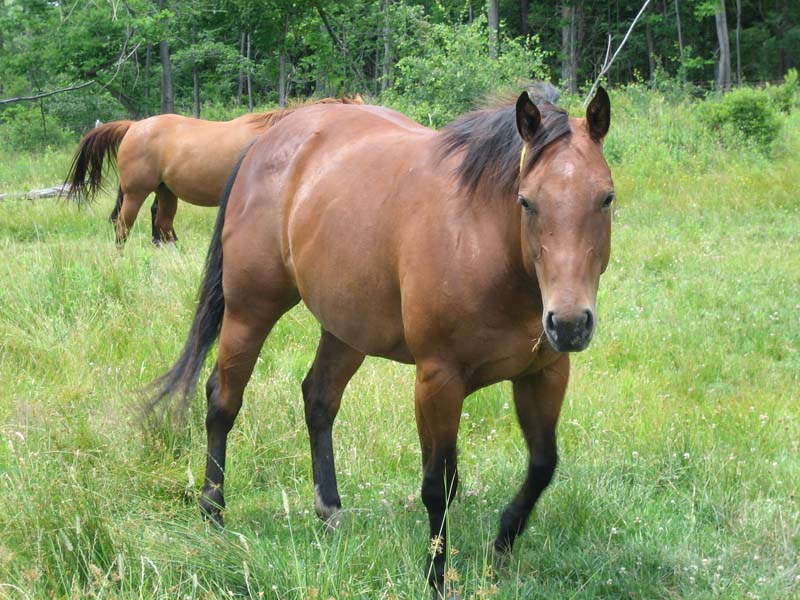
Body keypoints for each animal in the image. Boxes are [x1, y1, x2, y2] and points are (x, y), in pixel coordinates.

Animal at [149, 86, 613, 596]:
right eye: (526, 201)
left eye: (606, 198)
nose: (569, 324)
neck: (484, 243)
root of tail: (267, 140)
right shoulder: (438, 379)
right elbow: (438, 483)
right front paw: (436, 576)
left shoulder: (545, 373)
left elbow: (541, 465)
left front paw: (502, 543)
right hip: (251, 310)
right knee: (223, 400)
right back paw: (213, 511)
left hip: (347, 328)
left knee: (319, 399)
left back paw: (329, 512)